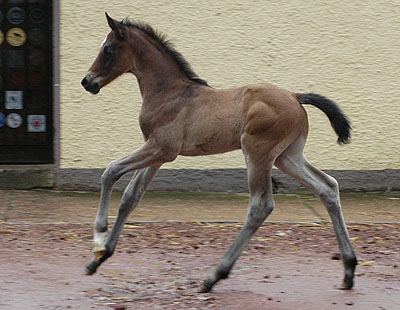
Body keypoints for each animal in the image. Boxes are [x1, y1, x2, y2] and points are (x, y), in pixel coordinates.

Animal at [80, 13, 356, 292]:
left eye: (108, 49)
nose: (87, 82)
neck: (169, 92)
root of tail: (295, 96)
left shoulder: (161, 148)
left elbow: (111, 171)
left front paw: (99, 240)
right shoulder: (157, 153)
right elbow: (131, 196)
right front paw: (99, 258)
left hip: (257, 152)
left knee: (261, 205)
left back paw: (214, 276)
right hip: (287, 156)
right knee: (327, 187)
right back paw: (349, 269)